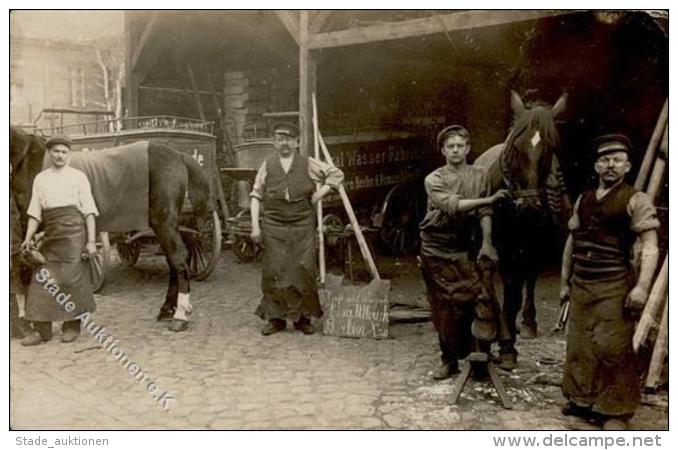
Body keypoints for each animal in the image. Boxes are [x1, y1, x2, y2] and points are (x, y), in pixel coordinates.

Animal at [9, 125, 212, 332]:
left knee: (179, 259)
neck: (28, 159)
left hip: (163, 223)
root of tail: (178, 155)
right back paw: (167, 309)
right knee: (177, 259)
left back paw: (180, 315)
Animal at [472, 89, 572, 368]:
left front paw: (508, 347)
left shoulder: (529, 249)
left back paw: (527, 323)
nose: (529, 205)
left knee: (529, 280)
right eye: (516, 148)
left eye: (550, 148)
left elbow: (515, 296)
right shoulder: (499, 249)